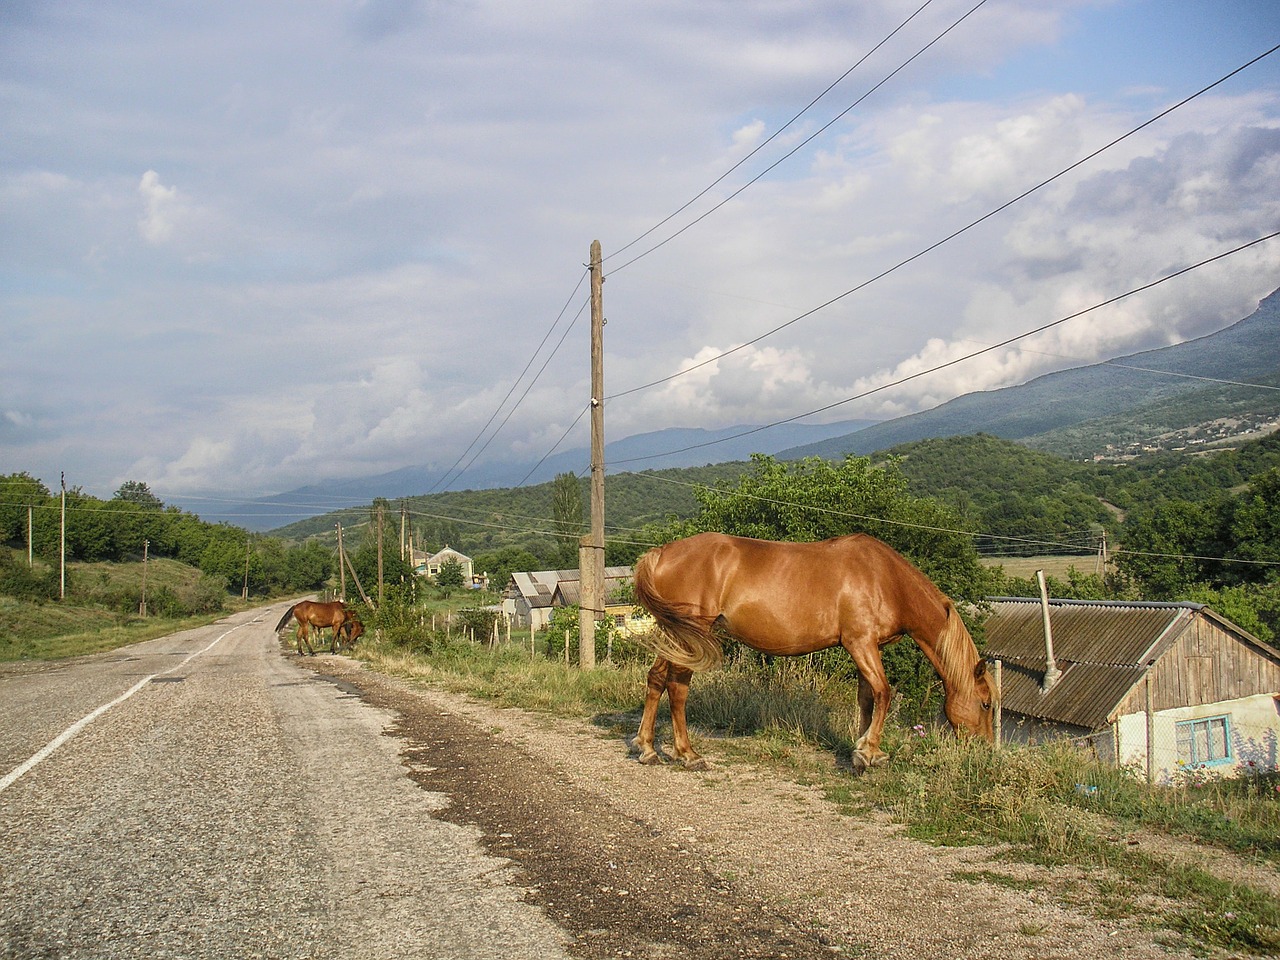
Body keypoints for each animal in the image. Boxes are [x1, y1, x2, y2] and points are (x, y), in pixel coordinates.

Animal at [634, 535, 993, 773]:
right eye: (987, 703)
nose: (985, 748)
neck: (886, 580)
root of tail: (661, 553)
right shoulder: (860, 643)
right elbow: (883, 692)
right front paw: (870, 752)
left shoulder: (867, 647)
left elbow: (867, 698)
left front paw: (859, 749)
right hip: (691, 635)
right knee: (678, 687)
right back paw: (687, 753)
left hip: (676, 635)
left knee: (657, 679)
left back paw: (648, 748)